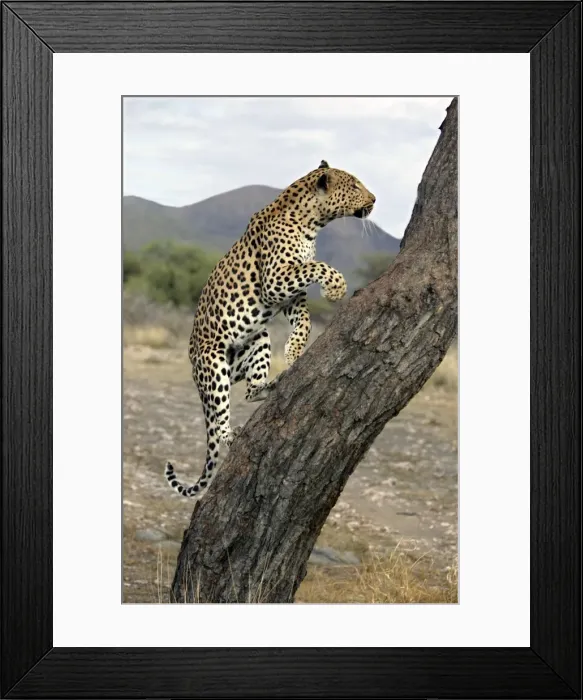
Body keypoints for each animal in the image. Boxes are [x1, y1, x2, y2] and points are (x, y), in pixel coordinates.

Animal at [165, 160, 376, 498]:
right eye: (355, 185)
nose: (374, 199)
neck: (311, 222)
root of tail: (194, 369)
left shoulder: (290, 295)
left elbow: (304, 320)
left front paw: (293, 351)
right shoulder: (276, 280)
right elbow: (319, 266)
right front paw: (335, 289)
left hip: (258, 339)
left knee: (250, 391)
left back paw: (273, 383)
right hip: (214, 366)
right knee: (220, 415)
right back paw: (231, 434)